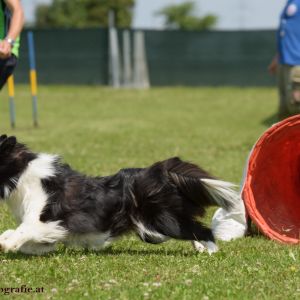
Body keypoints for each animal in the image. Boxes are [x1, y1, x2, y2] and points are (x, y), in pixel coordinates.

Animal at [0, 135, 239, 254]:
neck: (20, 174)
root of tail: (158, 172)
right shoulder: (51, 233)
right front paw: (9, 243)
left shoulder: (45, 220)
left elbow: (22, 230)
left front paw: (7, 244)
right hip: (153, 231)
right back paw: (199, 248)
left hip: (161, 222)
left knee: (204, 230)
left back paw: (210, 252)